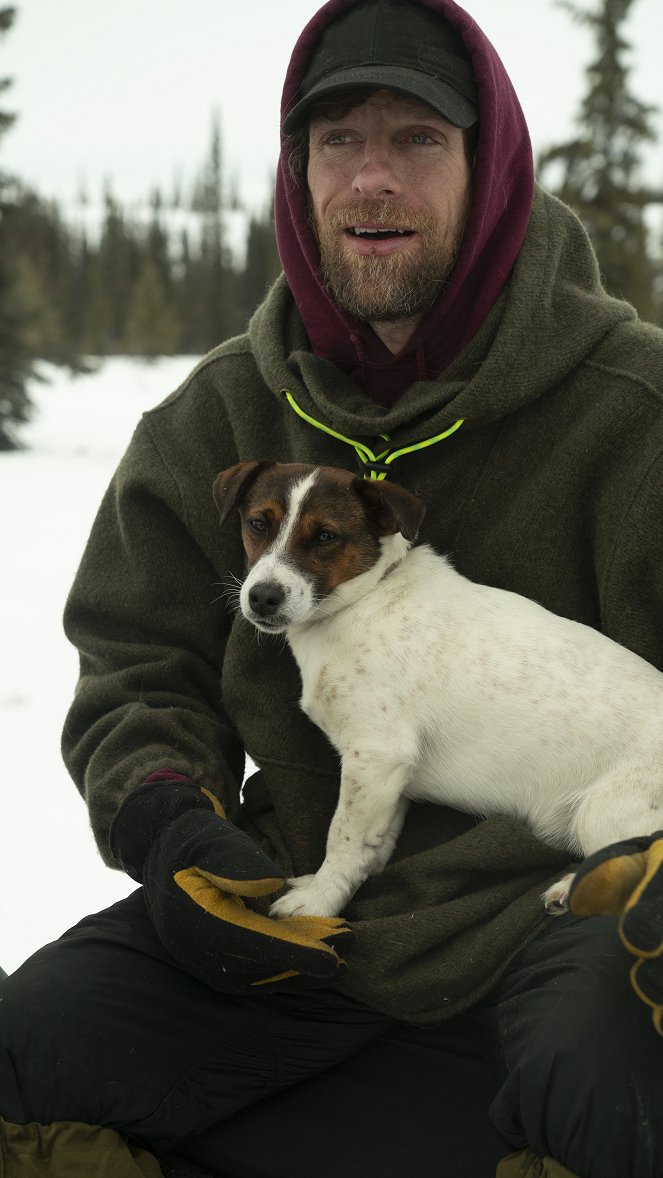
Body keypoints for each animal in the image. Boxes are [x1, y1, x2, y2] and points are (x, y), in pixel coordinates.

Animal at [213, 459, 663, 918]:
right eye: (258, 524)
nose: (262, 597)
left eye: (325, 536)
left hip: (602, 812)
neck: (364, 599)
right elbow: (371, 843)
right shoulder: (388, 772)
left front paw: (320, 900)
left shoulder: (375, 754)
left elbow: (343, 837)